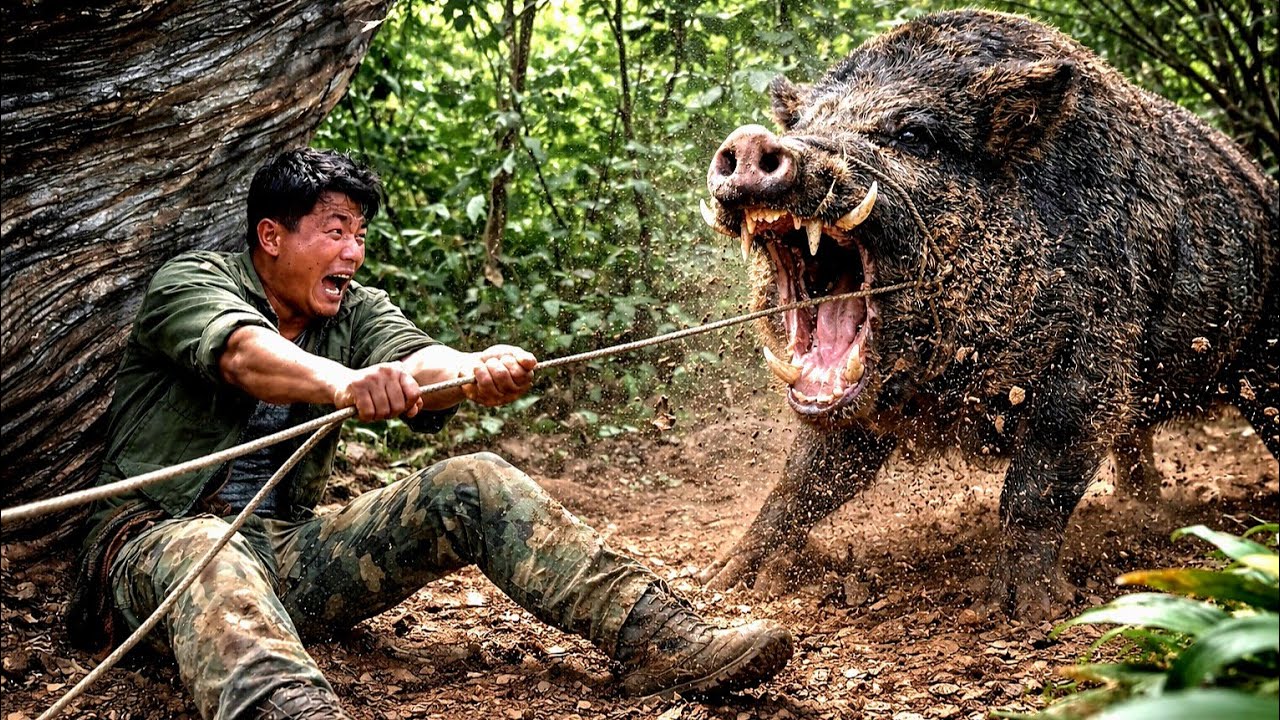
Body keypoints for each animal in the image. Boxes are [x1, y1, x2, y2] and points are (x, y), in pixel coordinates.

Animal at [698, 9, 1278, 619]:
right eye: (807, 120)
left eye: (913, 135)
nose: (750, 140)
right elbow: (804, 478)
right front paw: (721, 580)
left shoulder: (1092, 362)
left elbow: (1035, 483)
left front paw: (1028, 610)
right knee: (1133, 445)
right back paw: (1139, 510)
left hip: (1263, 362)